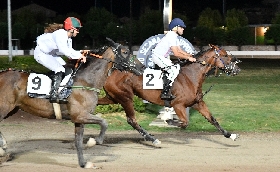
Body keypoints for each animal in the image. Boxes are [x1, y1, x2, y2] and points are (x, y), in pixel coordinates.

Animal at [0, 38, 144, 168]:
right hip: (4, 108)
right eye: (125, 52)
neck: (86, 81)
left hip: (13, 109)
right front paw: (94, 141)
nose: (142, 66)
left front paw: (84, 163)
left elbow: (78, 142)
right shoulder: (79, 115)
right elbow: (104, 122)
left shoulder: (80, 119)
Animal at [98, 44, 241, 145]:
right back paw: (152, 139)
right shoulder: (178, 105)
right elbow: (184, 123)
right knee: (132, 120)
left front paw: (231, 135)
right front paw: (166, 119)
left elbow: (212, 119)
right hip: (126, 97)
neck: (191, 76)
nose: (237, 69)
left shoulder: (197, 103)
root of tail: (111, 71)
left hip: (113, 97)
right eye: (225, 55)